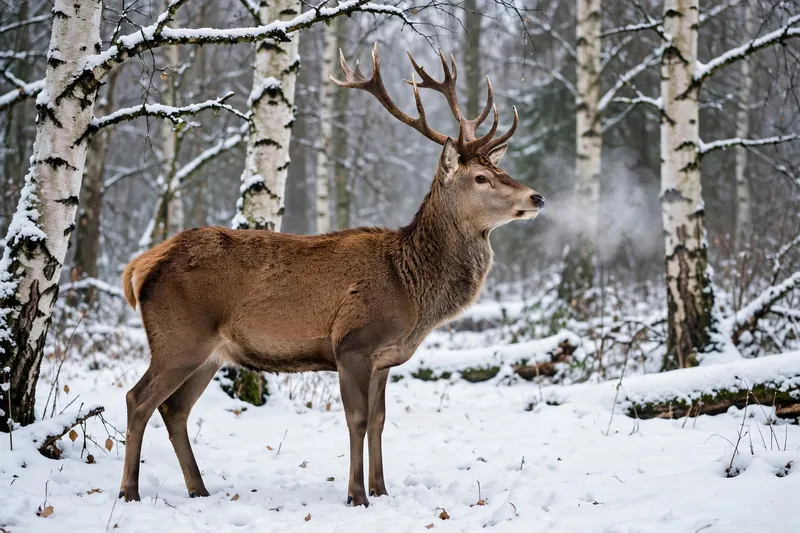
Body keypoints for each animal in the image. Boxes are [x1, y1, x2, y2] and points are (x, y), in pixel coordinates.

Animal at [118, 43, 545, 507]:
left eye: (501, 171)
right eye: (481, 177)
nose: (537, 197)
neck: (411, 288)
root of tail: (143, 265)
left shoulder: (385, 358)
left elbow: (379, 420)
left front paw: (382, 490)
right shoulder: (352, 344)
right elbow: (356, 419)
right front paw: (356, 495)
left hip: (209, 353)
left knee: (174, 409)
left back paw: (199, 488)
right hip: (178, 338)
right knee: (137, 399)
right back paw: (130, 492)